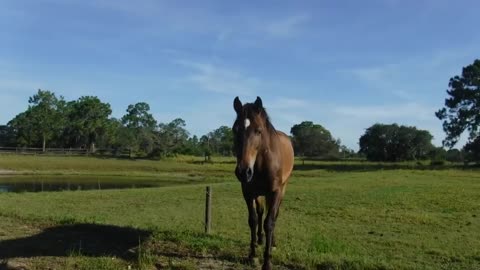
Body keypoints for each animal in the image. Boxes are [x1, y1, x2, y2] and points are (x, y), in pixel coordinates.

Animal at [232, 96, 294, 268]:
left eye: (258, 130)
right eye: (235, 129)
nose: (243, 171)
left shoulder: (274, 192)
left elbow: (270, 222)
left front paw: (267, 261)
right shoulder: (247, 192)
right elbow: (253, 220)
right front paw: (252, 255)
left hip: (281, 189)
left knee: (274, 215)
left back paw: (272, 242)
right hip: (259, 193)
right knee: (260, 212)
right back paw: (260, 240)